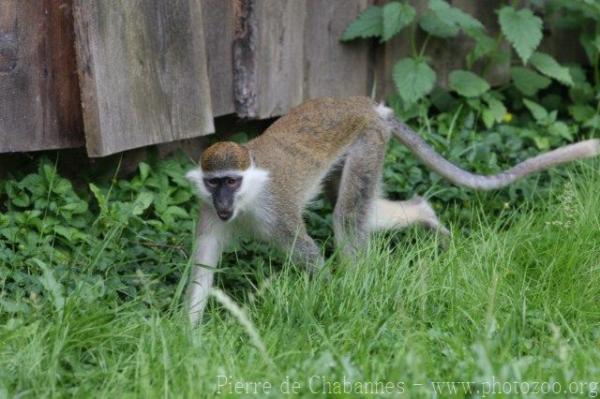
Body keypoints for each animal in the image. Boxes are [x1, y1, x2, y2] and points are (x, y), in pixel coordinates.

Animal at [185, 97, 596, 324]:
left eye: (232, 181)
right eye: (214, 183)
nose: (223, 203)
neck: (248, 201)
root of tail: (366, 105)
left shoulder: (278, 212)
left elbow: (309, 254)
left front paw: (335, 298)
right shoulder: (207, 213)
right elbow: (204, 267)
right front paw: (190, 337)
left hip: (369, 140)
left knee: (347, 216)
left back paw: (359, 287)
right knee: (361, 212)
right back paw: (425, 214)